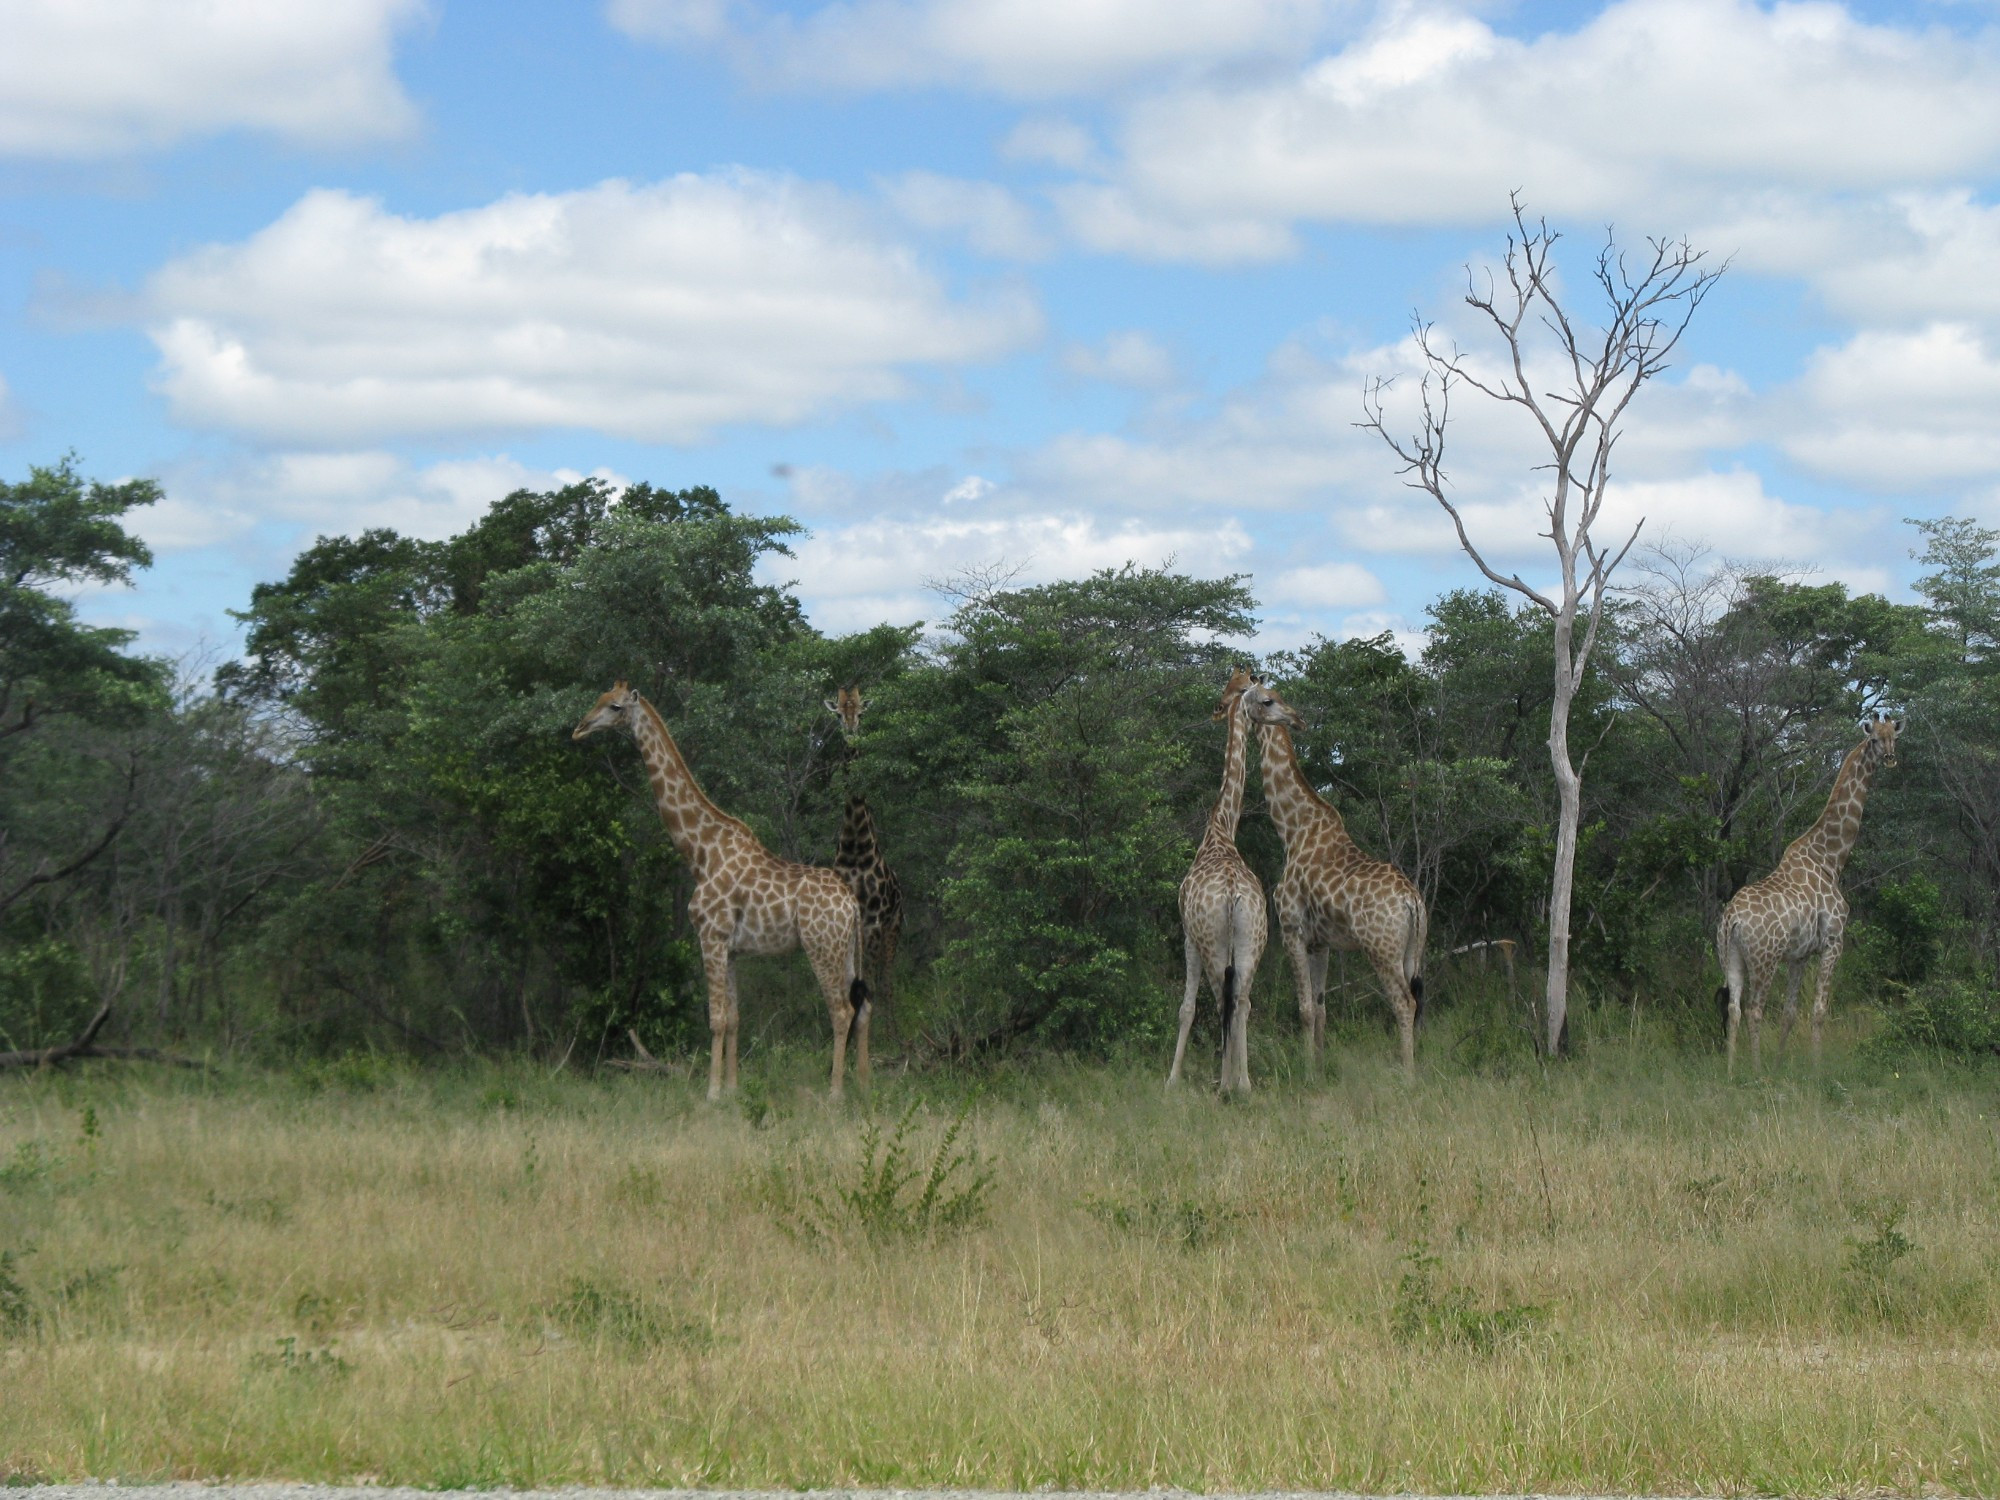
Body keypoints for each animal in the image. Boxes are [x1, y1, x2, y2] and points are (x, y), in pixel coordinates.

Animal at [572, 688, 868, 1096]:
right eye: (599, 697)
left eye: (615, 706)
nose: (579, 728)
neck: (701, 853)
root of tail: (851, 905)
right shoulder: (731, 949)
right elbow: (734, 1018)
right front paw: (731, 1089)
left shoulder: (710, 936)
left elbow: (714, 1019)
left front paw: (711, 1093)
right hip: (847, 949)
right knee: (862, 1009)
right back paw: (863, 1087)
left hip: (821, 947)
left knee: (841, 1011)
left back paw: (835, 1094)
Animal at [820, 692, 908, 1032]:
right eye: (838, 715)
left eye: (860, 714)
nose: (851, 732)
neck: (857, 848)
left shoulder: (873, 922)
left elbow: (871, 979)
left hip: (893, 928)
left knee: (887, 977)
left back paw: (892, 1027)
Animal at [1168, 668, 1288, 1096]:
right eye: (1265, 697)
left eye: (1227, 692)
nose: (1216, 711)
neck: (1220, 830)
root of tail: (1234, 894)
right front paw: (1239, 1078)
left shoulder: (1187, 934)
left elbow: (1186, 1007)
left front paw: (1171, 1080)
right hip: (1254, 939)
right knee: (1243, 1001)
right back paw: (1243, 1084)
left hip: (1213, 941)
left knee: (1224, 1001)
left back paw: (1224, 1085)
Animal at [1256, 680, 1432, 1080]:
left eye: (1265, 699)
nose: (1297, 718)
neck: (1292, 829)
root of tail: (1412, 901)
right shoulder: (1320, 942)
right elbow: (1321, 1009)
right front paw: (1321, 1068)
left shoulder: (1291, 929)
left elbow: (1305, 1009)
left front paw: (1306, 1072)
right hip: (1413, 949)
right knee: (1416, 1000)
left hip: (1381, 950)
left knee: (1404, 1003)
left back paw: (1408, 1076)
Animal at [1712, 712, 1896, 1072]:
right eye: (1873, 739)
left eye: (1893, 736)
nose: (1890, 757)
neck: (1830, 859)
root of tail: (1732, 920)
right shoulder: (1834, 942)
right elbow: (1819, 1010)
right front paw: (1815, 1068)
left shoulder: (1799, 955)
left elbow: (1790, 1013)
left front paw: (1781, 1065)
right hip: (1765, 959)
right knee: (1755, 1010)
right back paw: (1755, 1071)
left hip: (1731, 957)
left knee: (1734, 1009)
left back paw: (1729, 1070)